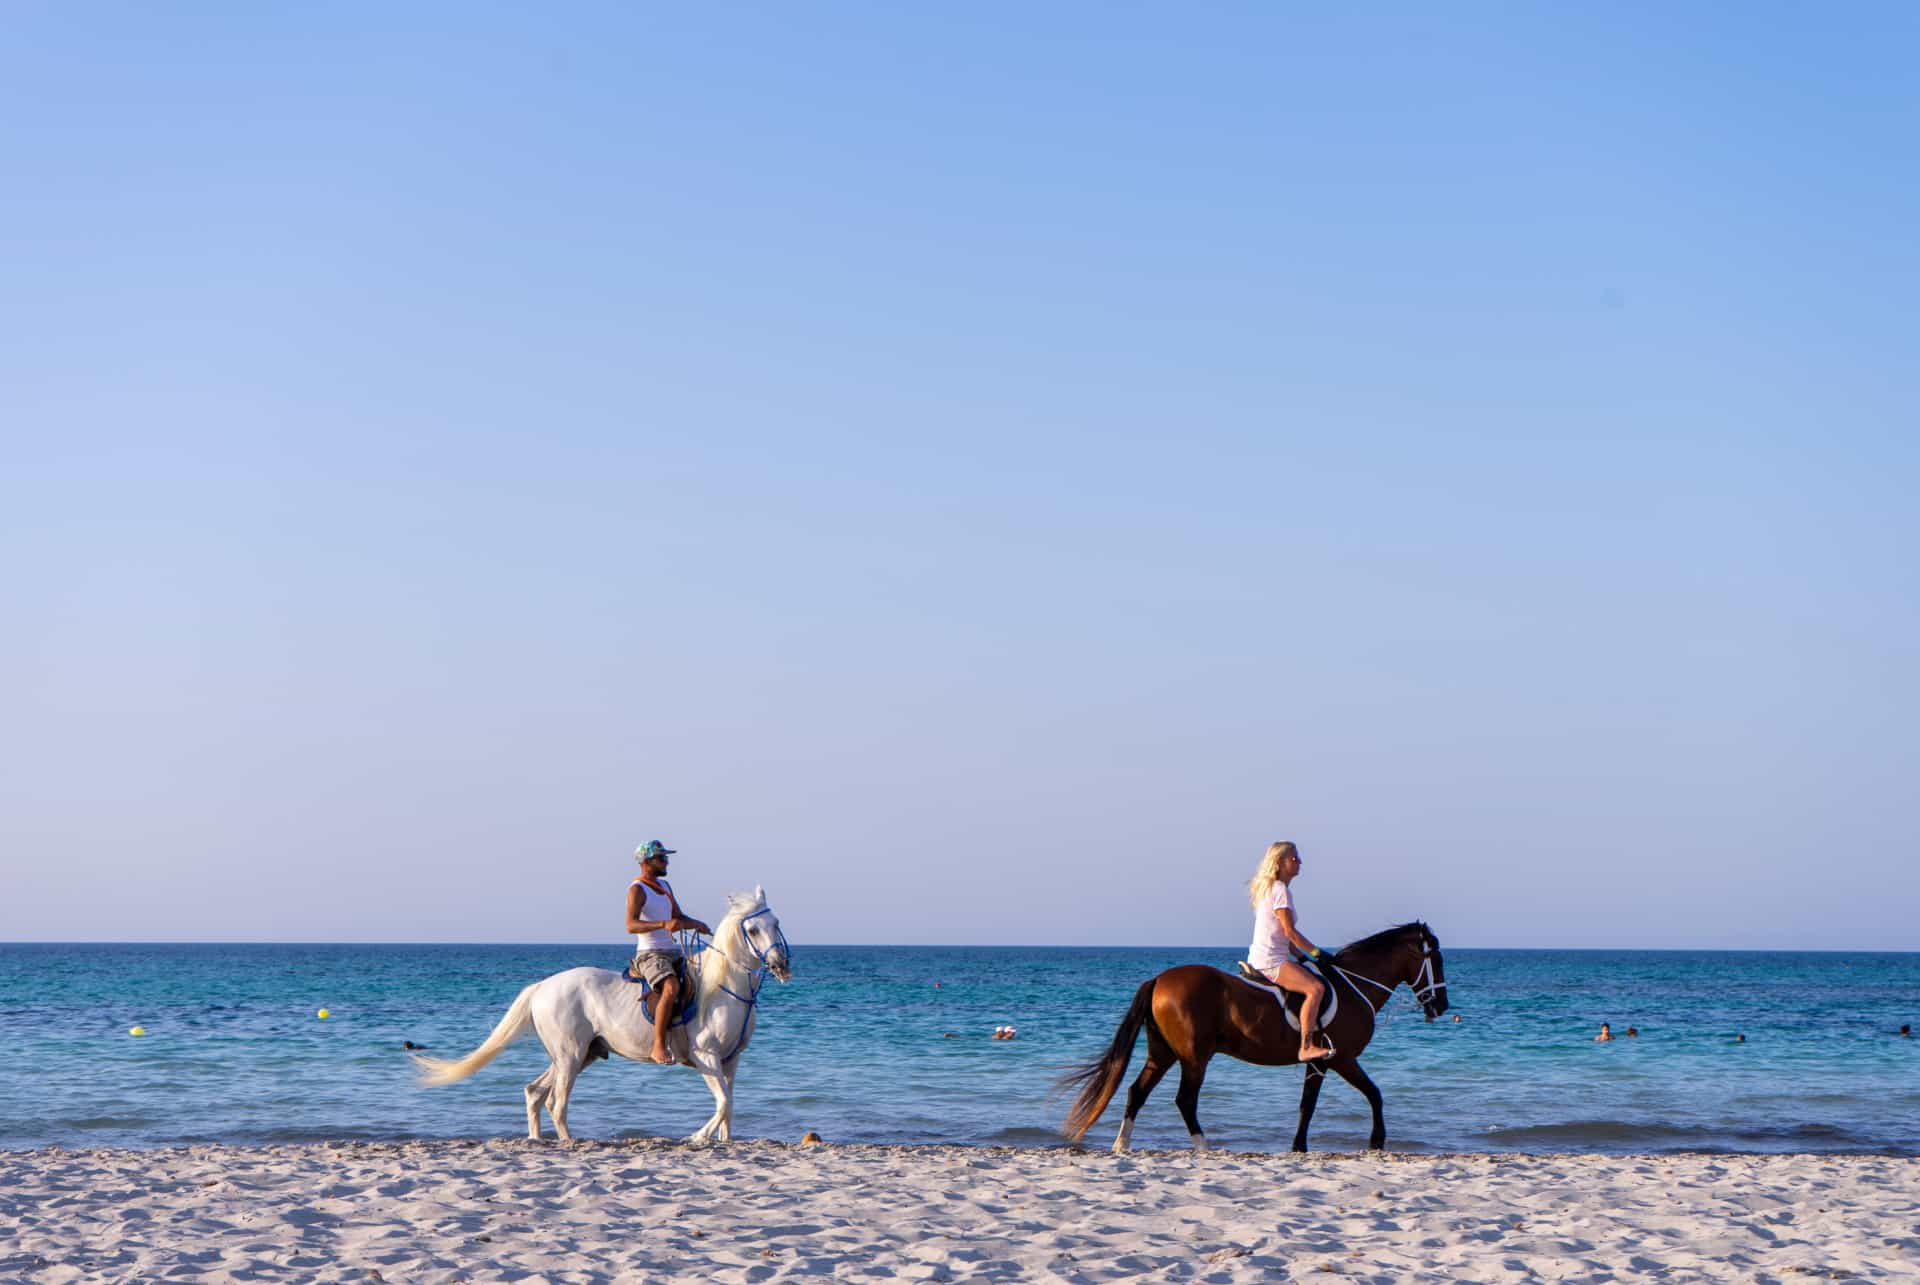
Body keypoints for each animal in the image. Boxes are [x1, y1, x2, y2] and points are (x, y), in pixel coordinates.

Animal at [412, 883, 787, 1144]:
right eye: (752, 930)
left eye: (776, 922)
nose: (781, 965)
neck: (723, 988)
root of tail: (542, 987)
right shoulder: (705, 1056)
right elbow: (723, 1103)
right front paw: (696, 1137)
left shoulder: (730, 1060)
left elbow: (729, 1105)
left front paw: (724, 1142)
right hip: (571, 1054)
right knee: (556, 1102)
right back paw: (568, 1142)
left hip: (580, 1054)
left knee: (535, 1092)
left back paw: (536, 1140)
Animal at [1059, 921, 1443, 1152]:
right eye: (1436, 960)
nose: (1441, 1006)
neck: (1353, 986)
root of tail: (1160, 980)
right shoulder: (1343, 1059)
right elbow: (1373, 1095)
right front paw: (1377, 1141)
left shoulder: (1320, 1063)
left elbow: (1307, 1104)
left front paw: (1298, 1147)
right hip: (1194, 1058)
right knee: (1185, 1100)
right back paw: (1204, 1148)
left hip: (1163, 1053)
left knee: (1137, 1091)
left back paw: (1122, 1144)